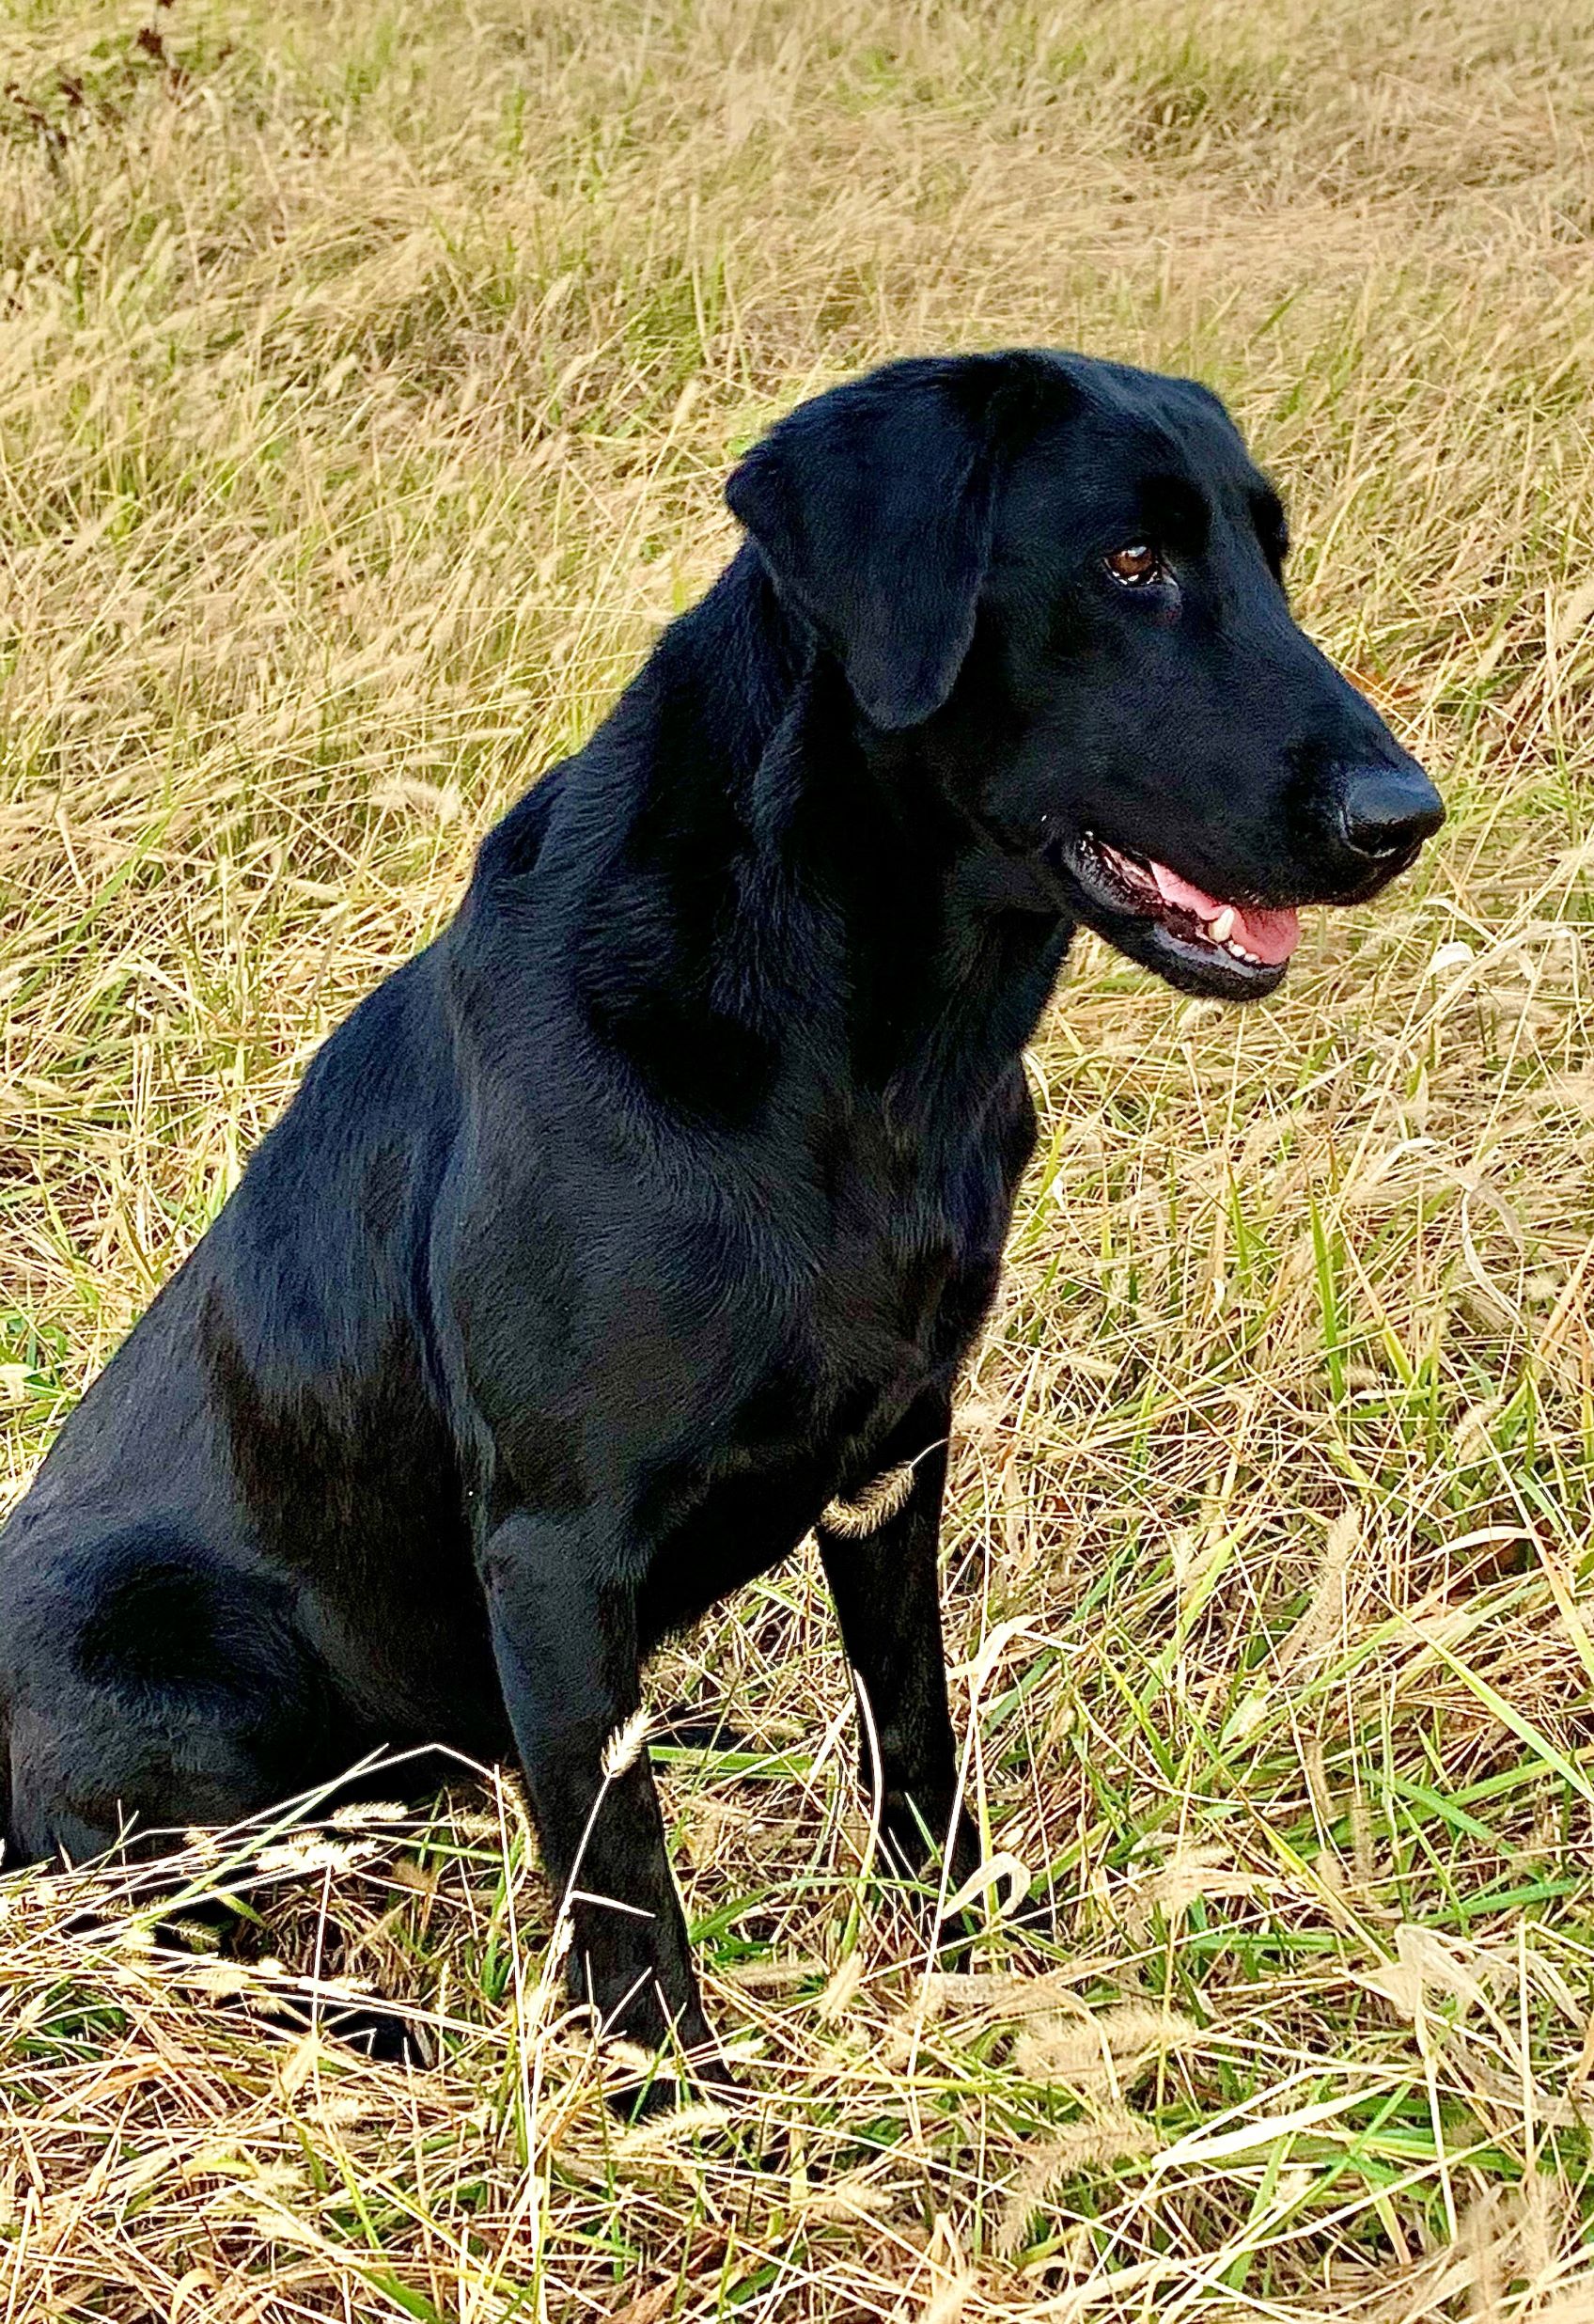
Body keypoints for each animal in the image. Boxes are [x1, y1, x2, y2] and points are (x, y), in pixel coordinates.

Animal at [3, 357, 1449, 2073]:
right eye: (1130, 563)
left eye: (1269, 558)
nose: (1402, 815)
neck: (866, 1059)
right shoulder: (553, 1543)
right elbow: (625, 1886)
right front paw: (671, 2100)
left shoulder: (893, 1456)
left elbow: (914, 1735)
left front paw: (960, 1947)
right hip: (176, 1661)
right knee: (168, 1935)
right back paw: (375, 2026)